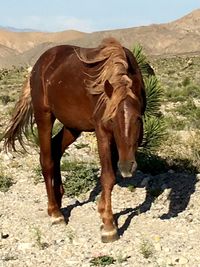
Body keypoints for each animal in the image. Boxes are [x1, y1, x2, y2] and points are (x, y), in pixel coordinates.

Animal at [2, 37, 145, 243]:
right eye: (111, 120)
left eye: (138, 119)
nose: (127, 167)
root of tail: (39, 64)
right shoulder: (102, 131)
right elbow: (108, 176)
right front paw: (108, 226)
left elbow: (110, 176)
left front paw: (103, 213)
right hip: (44, 116)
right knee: (46, 160)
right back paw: (55, 213)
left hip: (73, 127)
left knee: (55, 150)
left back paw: (58, 199)